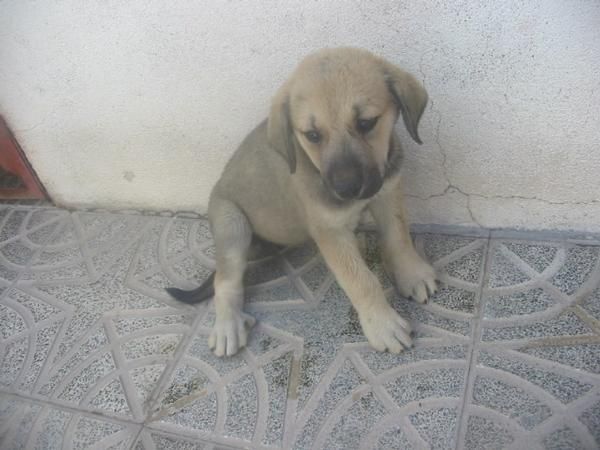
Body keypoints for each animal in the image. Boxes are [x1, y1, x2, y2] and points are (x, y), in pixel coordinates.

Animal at [166, 47, 438, 356]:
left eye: (366, 123)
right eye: (313, 135)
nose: (347, 189)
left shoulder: (387, 193)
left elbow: (398, 238)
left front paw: (411, 274)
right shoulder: (329, 231)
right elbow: (361, 280)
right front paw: (383, 325)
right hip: (231, 224)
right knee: (224, 281)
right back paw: (227, 327)